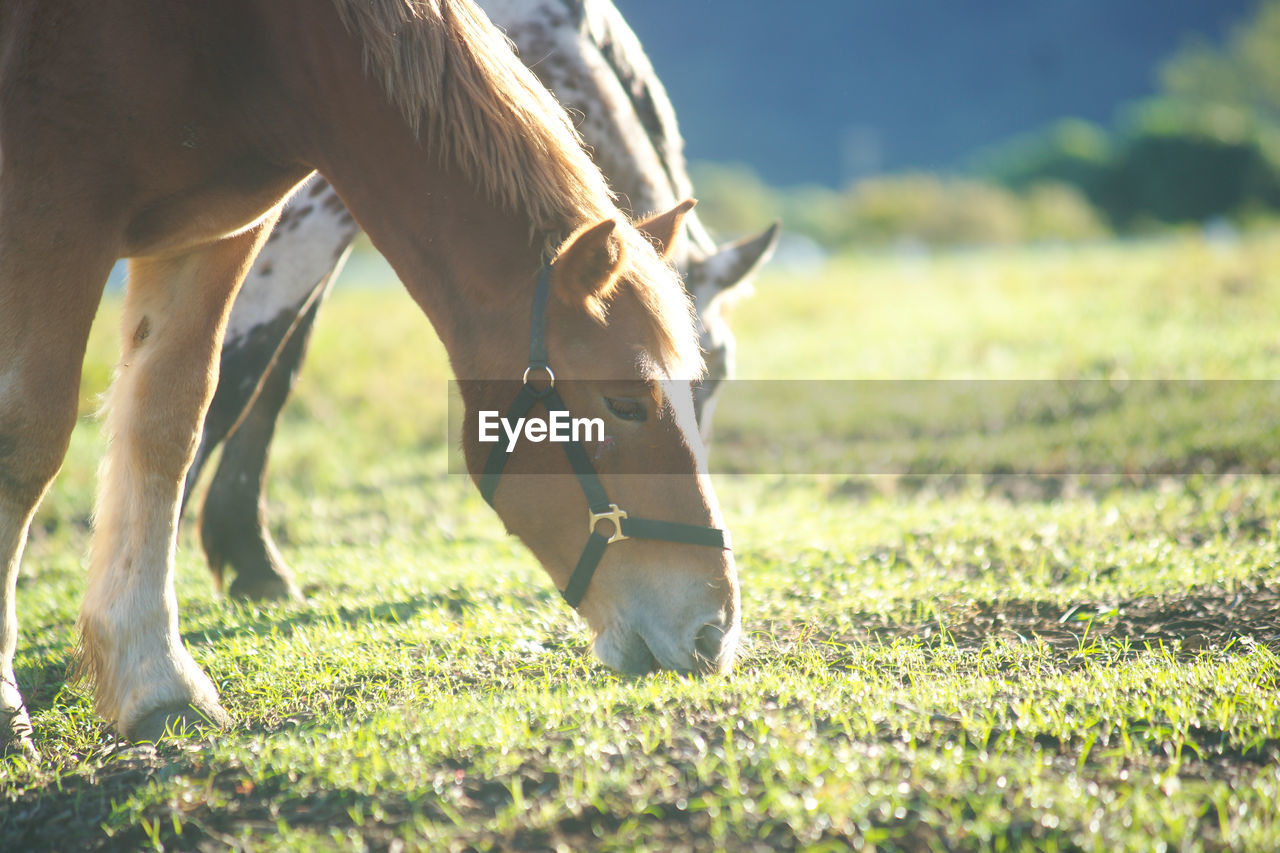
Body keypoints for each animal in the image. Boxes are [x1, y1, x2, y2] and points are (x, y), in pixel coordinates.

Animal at [0, 0, 742, 753]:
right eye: (625, 402)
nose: (715, 632)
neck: (266, 48)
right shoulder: (59, 213)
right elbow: (39, 432)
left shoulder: (224, 228)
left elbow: (176, 415)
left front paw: (162, 663)